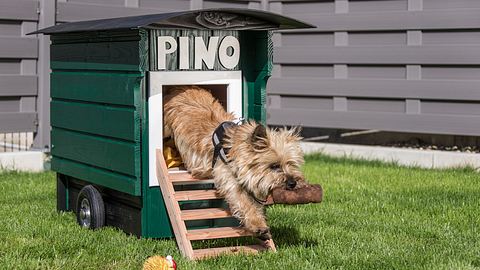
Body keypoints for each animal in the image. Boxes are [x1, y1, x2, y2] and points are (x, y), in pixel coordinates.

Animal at [163, 85, 306, 250]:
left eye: (291, 164)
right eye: (274, 165)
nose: (292, 182)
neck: (234, 150)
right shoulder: (228, 178)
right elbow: (244, 202)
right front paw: (259, 226)